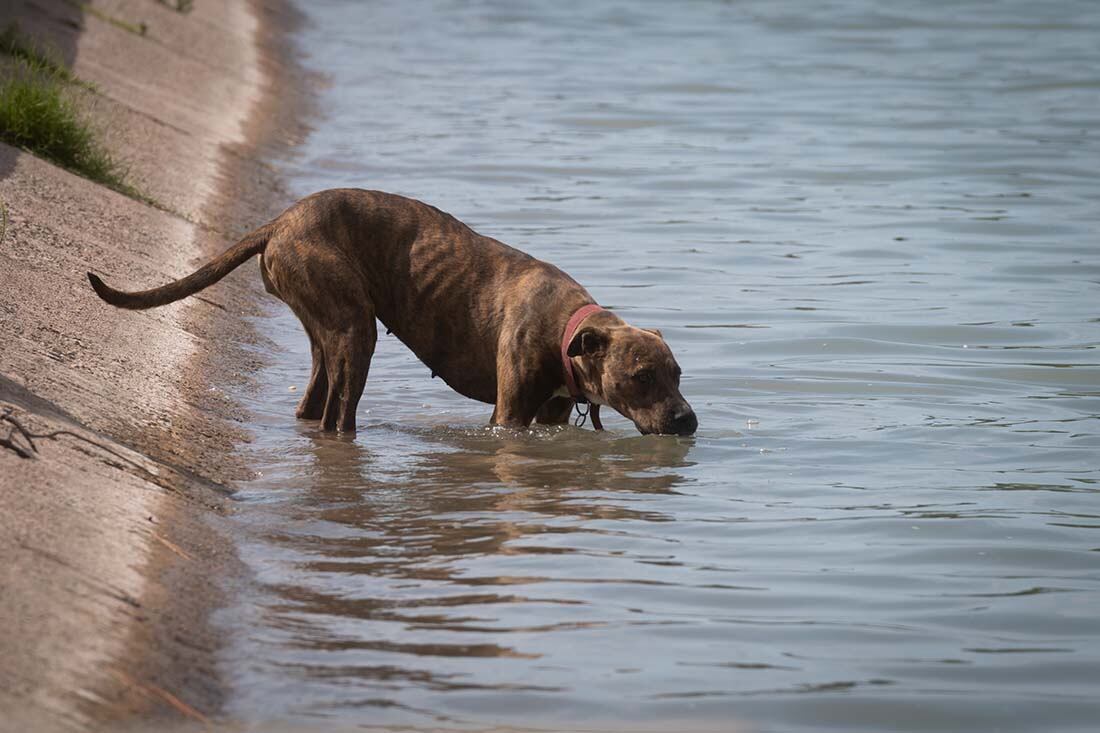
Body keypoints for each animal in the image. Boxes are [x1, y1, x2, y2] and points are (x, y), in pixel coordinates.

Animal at [90, 191, 699, 435]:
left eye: (678, 375)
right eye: (642, 376)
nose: (688, 421)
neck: (568, 328)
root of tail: (279, 222)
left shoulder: (547, 415)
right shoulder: (509, 415)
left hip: (327, 336)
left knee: (315, 401)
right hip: (355, 333)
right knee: (339, 414)